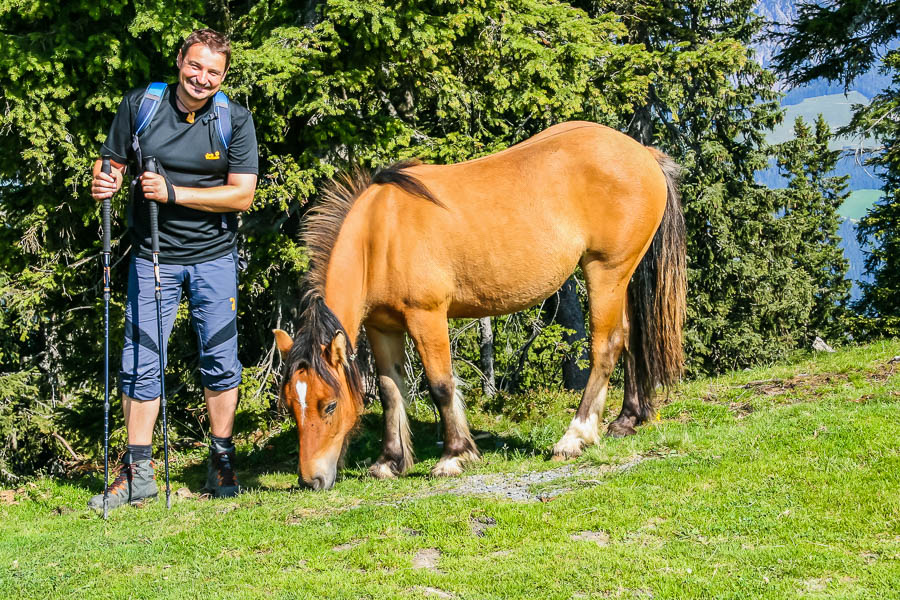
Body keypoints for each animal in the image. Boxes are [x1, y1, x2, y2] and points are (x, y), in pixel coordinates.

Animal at [272, 119, 684, 490]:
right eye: (292, 405)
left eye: (329, 405)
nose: (311, 480)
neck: (379, 235)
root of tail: (643, 155)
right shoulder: (382, 327)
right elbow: (391, 391)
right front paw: (389, 461)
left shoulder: (427, 316)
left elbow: (441, 385)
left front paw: (454, 455)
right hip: (620, 277)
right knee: (629, 337)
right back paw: (627, 419)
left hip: (605, 272)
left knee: (606, 347)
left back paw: (575, 436)